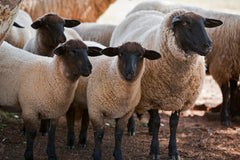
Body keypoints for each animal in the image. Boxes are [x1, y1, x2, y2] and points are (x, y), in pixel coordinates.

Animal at [109, 9, 222, 159]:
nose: (208, 45)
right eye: (185, 23)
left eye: (204, 24)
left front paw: (173, 151)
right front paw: (154, 150)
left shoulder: (180, 99)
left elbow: (174, 124)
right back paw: (132, 128)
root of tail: (143, 11)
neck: (177, 78)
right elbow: (158, 122)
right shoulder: (151, 96)